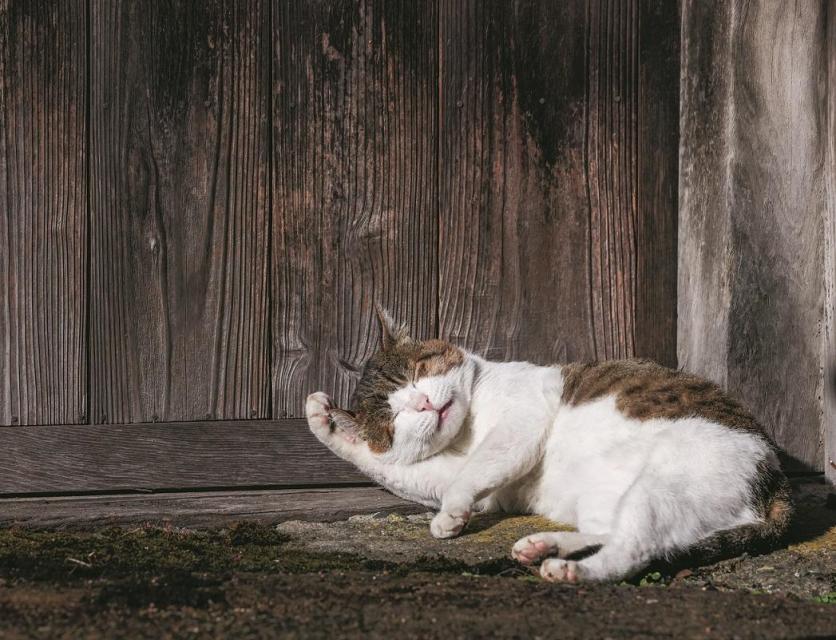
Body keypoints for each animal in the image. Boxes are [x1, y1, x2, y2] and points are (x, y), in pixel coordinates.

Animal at [306, 308, 792, 584]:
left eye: (417, 373)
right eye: (393, 419)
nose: (422, 402)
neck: (468, 430)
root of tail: (773, 473)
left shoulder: (522, 419)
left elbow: (475, 469)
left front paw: (449, 516)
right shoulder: (455, 477)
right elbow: (396, 468)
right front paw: (323, 421)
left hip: (665, 482)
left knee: (636, 550)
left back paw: (572, 570)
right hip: (610, 497)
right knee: (619, 533)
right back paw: (546, 546)